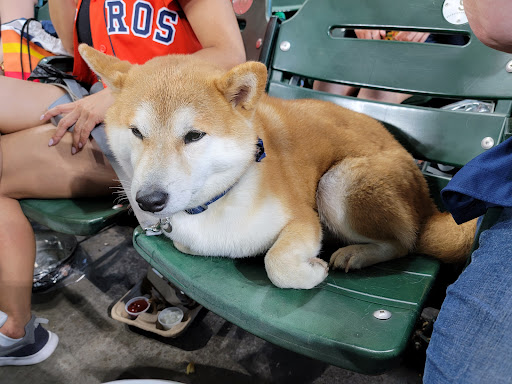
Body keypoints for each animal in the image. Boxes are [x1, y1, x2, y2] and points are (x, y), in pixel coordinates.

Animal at [79, 44, 476, 288]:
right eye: (136, 132)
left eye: (193, 136)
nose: (148, 201)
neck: (221, 198)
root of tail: (430, 203)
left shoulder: (303, 218)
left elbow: (277, 264)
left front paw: (311, 269)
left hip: (336, 184)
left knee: (405, 242)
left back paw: (356, 253)